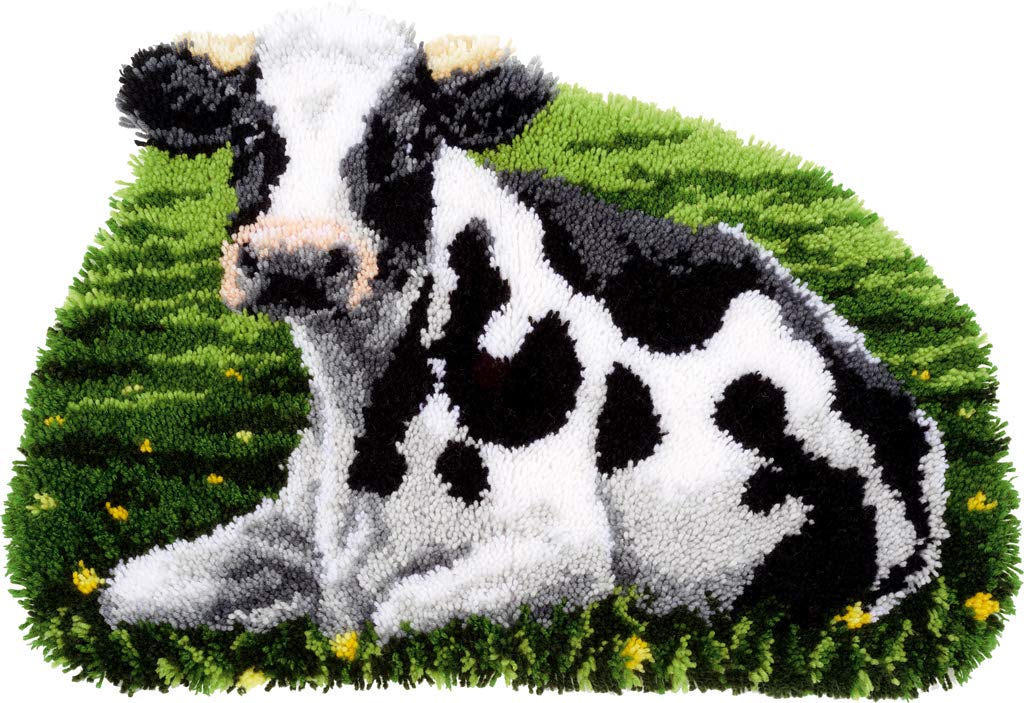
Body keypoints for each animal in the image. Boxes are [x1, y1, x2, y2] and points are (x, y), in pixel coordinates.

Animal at [98, 7, 948, 642]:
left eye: (410, 140)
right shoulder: (297, 523)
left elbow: (382, 615)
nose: (297, 258)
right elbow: (131, 587)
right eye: (247, 135)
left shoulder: (564, 552)